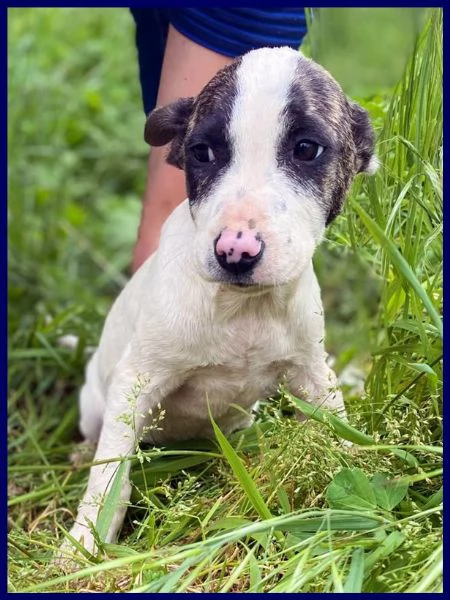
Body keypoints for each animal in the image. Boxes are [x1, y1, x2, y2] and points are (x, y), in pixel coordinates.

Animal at [58, 47, 378, 556]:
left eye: (307, 149)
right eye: (202, 152)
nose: (235, 251)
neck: (242, 309)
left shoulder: (311, 372)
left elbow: (335, 425)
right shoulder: (135, 381)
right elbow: (110, 481)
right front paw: (84, 544)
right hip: (96, 401)